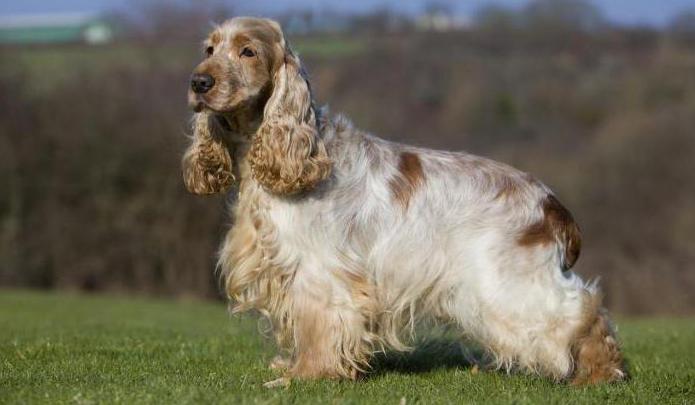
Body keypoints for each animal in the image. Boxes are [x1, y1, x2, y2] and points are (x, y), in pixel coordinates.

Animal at [182, 17, 628, 386]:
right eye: (209, 49)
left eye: (248, 51)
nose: (198, 83)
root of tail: (551, 204)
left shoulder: (319, 269)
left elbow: (321, 324)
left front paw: (307, 375)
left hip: (505, 285)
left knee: (581, 310)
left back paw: (600, 372)